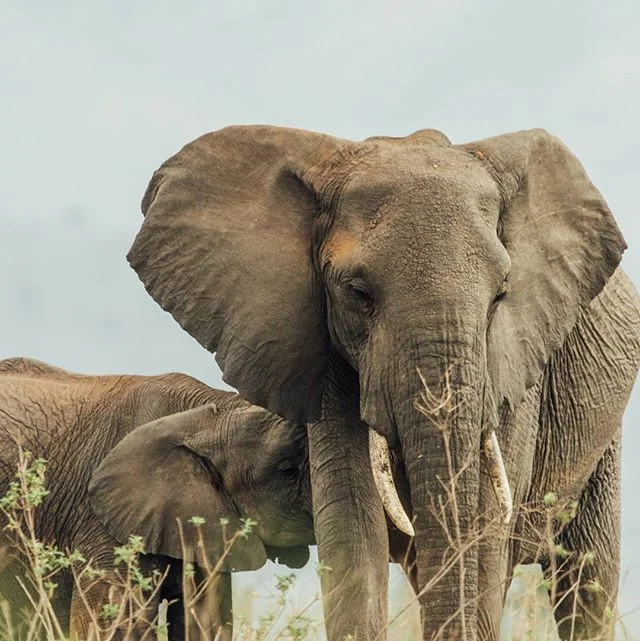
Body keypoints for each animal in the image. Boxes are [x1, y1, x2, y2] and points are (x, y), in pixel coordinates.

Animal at [128, 125, 640, 641]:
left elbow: (486, 530)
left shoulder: (514, 359)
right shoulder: (323, 353)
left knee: (587, 581)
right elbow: (354, 530)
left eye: (501, 295)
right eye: (358, 293)